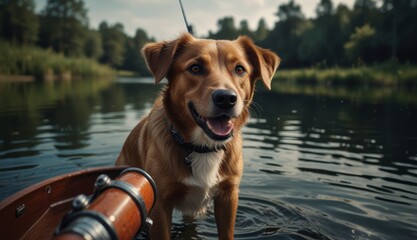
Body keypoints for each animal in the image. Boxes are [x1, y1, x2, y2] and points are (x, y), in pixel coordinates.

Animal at [115, 32, 278, 239]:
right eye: (195, 68)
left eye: (239, 69)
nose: (226, 98)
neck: (203, 147)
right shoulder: (160, 206)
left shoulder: (228, 197)